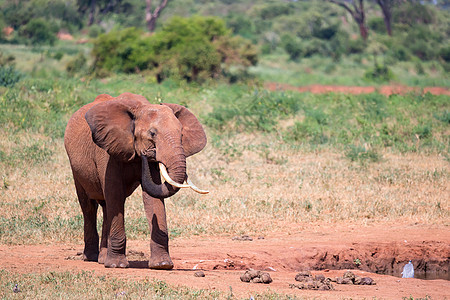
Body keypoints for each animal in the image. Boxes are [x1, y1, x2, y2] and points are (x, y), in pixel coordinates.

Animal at [64, 92, 208, 270]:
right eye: (152, 134)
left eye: (181, 133)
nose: (148, 153)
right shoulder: (108, 151)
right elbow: (115, 193)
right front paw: (117, 265)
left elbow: (152, 196)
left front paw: (162, 265)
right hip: (76, 168)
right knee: (89, 206)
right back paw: (91, 258)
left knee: (106, 207)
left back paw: (103, 258)